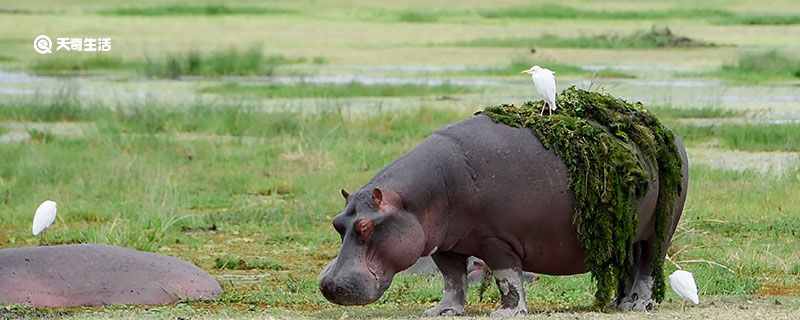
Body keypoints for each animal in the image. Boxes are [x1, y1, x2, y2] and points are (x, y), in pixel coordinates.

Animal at [318, 114, 688, 316]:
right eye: (338, 224)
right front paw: (441, 311)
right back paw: (617, 303)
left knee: (647, 266)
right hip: (626, 236)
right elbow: (452, 279)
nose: (328, 284)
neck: (413, 201)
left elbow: (507, 277)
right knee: (629, 265)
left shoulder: (496, 241)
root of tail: (669, 132)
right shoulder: (445, 245)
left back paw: (638, 305)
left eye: (366, 227)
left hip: (658, 230)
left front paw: (507, 312)